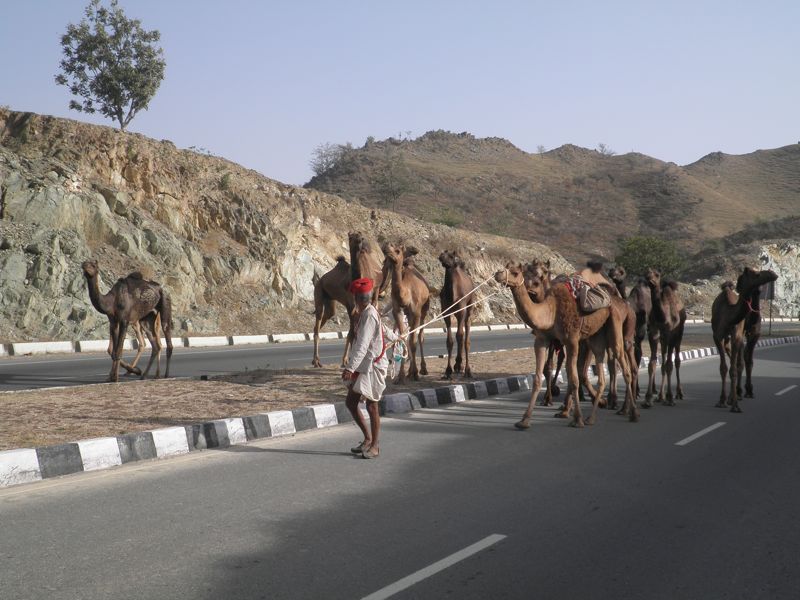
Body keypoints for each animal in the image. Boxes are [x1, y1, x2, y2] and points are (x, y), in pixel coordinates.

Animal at [310, 231, 386, 368]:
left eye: (360, 236)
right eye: (350, 237)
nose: (360, 241)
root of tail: (320, 280)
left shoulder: (357, 306)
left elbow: (354, 332)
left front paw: (348, 359)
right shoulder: (351, 305)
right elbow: (352, 333)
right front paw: (346, 360)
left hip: (330, 301)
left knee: (326, 317)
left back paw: (316, 360)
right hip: (319, 293)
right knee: (318, 323)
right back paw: (316, 361)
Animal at [382, 241, 432, 382]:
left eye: (397, 250)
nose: (385, 247)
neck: (405, 294)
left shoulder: (416, 312)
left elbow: (413, 341)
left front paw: (415, 373)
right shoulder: (397, 311)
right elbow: (403, 337)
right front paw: (401, 376)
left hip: (424, 310)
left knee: (420, 336)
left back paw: (422, 369)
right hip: (408, 315)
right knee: (410, 335)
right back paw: (410, 371)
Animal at [490, 264, 636, 428]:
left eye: (515, 272)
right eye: (506, 267)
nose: (498, 274)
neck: (551, 311)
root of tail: (616, 301)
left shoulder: (571, 340)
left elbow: (573, 379)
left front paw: (577, 419)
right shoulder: (541, 340)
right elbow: (538, 379)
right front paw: (524, 420)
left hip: (615, 324)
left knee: (624, 365)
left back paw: (631, 413)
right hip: (596, 336)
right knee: (601, 369)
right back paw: (592, 417)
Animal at [644, 268, 688, 406]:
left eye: (657, 274)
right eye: (646, 273)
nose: (649, 279)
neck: (662, 317)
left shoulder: (670, 334)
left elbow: (669, 364)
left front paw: (670, 397)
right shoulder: (653, 333)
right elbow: (652, 364)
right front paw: (648, 398)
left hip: (679, 334)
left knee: (676, 360)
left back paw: (678, 393)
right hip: (663, 339)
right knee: (663, 362)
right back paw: (660, 396)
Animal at [712, 268, 776, 412]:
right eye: (757, 274)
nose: (773, 273)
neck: (728, 316)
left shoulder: (738, 336)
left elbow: (735, 368)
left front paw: (735, 404)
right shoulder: (717, 337)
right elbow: (723, 368)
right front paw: (721, 400)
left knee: (738, 362)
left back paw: (736, 395)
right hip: (726, 338)